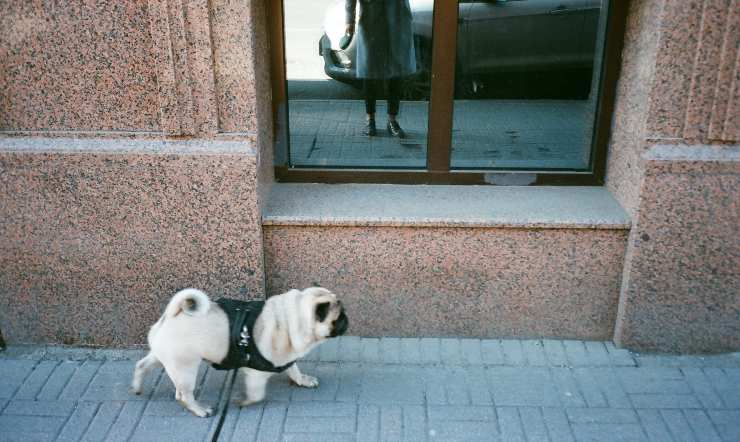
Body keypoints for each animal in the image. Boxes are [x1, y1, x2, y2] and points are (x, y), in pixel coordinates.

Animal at [129, 286, 348, 418]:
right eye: (338, 318)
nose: (347, 319)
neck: (291, 320)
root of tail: (172, 315)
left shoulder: (287, 357)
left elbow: (293, 370)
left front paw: (303, 380)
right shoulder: (257, 373)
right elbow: (257, 394)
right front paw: (243, 401)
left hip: (164, 357)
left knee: (142, 366)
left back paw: (137, 387)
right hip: (185, 367)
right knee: (184, 395)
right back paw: (200, 410)